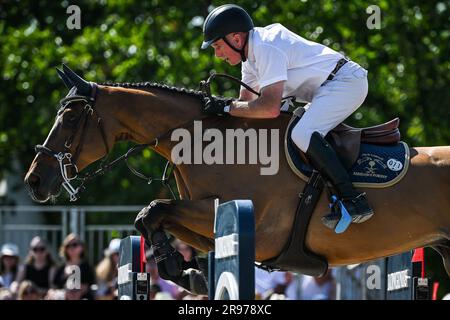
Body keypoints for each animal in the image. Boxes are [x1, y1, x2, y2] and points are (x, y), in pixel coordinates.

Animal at [24, 64, 450, 290]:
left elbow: (154, 209)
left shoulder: (261, 231)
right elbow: (152, 217)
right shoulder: (210, 225)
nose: (34, 181)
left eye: (71, 118)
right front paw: (185, 272)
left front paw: (185, 274)